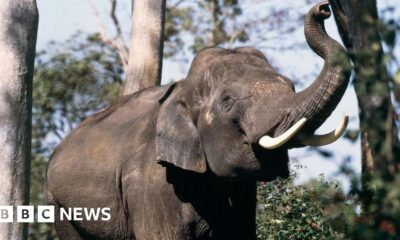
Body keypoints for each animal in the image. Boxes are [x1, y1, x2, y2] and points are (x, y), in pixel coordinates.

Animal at [44, 2, 350, 240]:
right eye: (227, 101)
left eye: (291, 85)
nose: (324, 9)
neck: (181, 89)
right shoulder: (151, 185)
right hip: (60, 206)